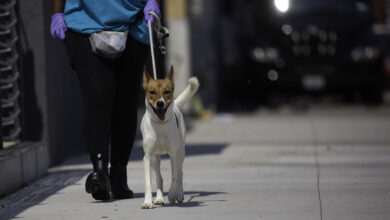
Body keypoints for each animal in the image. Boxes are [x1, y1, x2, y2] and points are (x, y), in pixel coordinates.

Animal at [140, 66, 200, 209]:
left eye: (166, 91)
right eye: (152, 92)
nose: (160, 103)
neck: (160, 126)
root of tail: (176, 106)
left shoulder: (173, 155)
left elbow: (174, 179)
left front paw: (172, 195)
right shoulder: (148, 156)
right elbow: (148, 182)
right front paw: (147, 202)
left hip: (181, 152)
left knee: (180, 173)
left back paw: (179, 195)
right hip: (155, 158)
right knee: (159, 177)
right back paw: (159, 198)